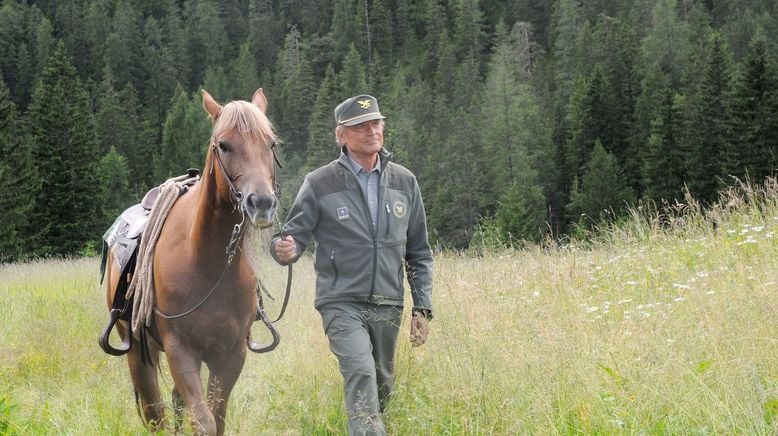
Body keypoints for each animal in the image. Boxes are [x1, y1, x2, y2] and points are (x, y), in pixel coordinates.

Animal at [103, 88, 278, 436]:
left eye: (271, 143)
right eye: (223, 145)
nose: (262, 202)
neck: (209, 265)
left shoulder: (232, 354)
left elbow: (216, 417)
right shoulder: (181, 351)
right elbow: (203, 420)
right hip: (138, 354)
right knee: (155, 412)